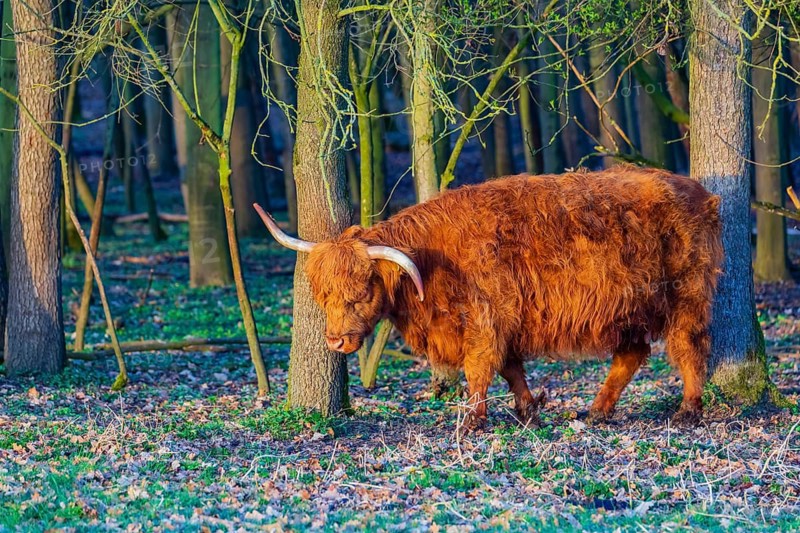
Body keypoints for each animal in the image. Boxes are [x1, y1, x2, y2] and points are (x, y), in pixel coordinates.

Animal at [255, 167, 723, 429]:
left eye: (362, 291)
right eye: (323, 295)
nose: (335, 341)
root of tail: (697, 191)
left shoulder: (486, 319)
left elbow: (480, 368)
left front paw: (472, 422)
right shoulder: (503, 320)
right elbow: (511, 369)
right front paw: (528, 411)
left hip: (685, 295)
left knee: (688, 347)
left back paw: (688, 411)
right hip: (628, 308)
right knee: (631, 354)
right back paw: (597, 411)